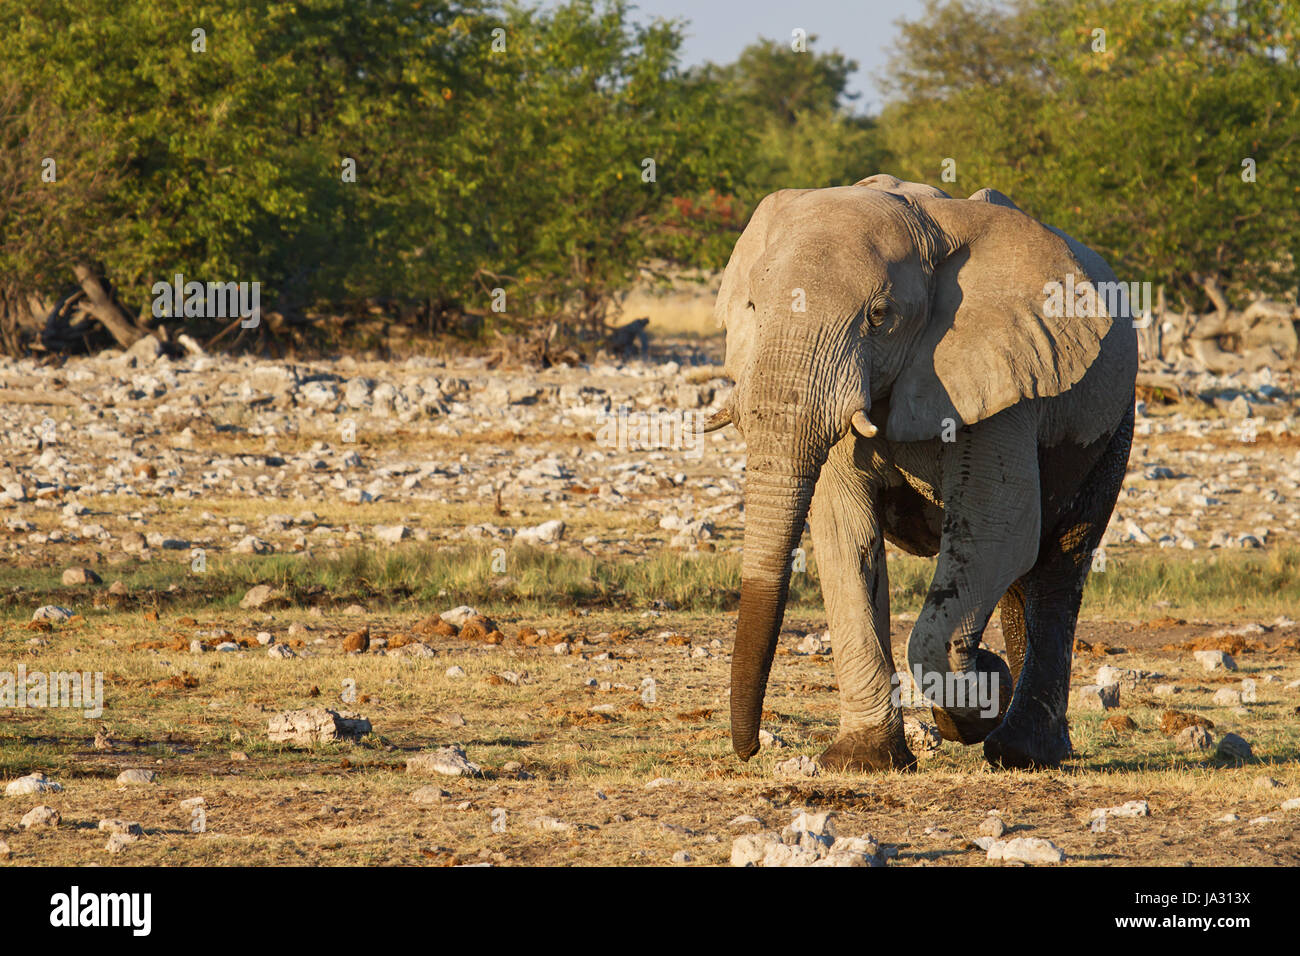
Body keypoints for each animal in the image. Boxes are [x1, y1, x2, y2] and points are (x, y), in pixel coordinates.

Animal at [702, 170, 1138, 770]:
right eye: (750, 305)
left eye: (879, 316)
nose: (747, 751)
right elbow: (846, 540)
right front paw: (863, 760)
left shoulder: (1003, 379)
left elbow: (996, 534)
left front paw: (978, 698)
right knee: (1023, 576)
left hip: (1114, 422)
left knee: (1059, 565)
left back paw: (1022, 748)